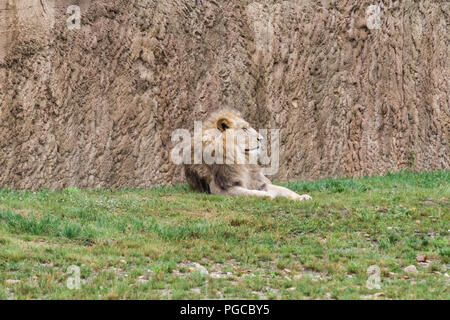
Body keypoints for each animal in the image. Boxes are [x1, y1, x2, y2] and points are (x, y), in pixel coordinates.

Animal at [184, 109, 312, 201]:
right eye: (244, 129)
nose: (261, 138)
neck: (242, 160)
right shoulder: (221, 189)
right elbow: (250, 193)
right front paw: (267, 196)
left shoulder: (258, 181)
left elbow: (284, 189)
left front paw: (302, 197)